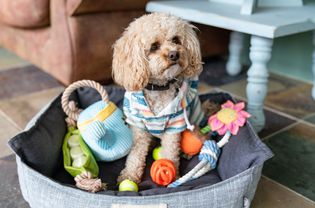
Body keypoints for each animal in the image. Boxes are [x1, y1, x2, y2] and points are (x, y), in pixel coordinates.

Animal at [112, 12, 206, 184]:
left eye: (176, 40)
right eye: (154, 46)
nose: (174, 54)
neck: (159, 88)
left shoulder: (174, 127)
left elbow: (170, 152)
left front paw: (173, 176)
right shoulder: (138, 127)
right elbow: (135, 153)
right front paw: (129, 175)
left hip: (195, 121)